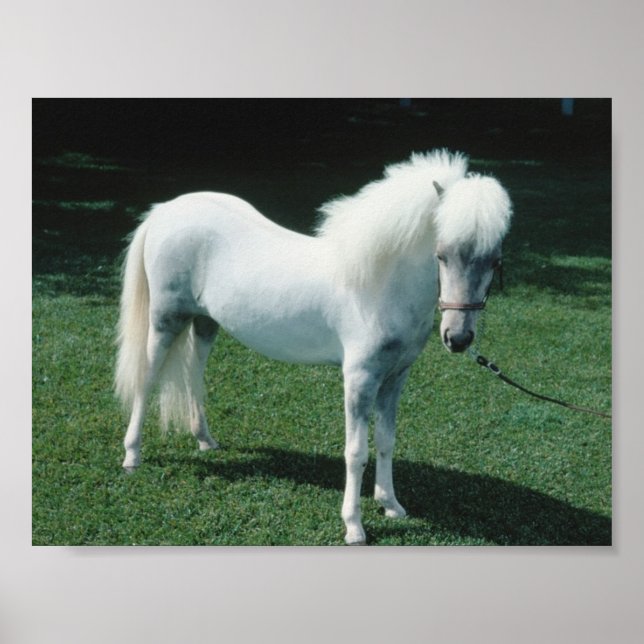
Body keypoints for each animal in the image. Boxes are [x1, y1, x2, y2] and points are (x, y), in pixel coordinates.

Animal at [115, 149, 512, 545]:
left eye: (495, 261)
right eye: (441, 255)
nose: (458, 338)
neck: (379, 285)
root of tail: (166, 210)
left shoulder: (395, 377)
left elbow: (386, 440)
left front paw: (391, 505)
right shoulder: (359, 379)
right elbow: (357, 451)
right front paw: (354, 526)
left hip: (205, 323)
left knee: (194, 375)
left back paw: (205, 441)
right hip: (165, 321)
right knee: (146, 379)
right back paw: (132, 456)